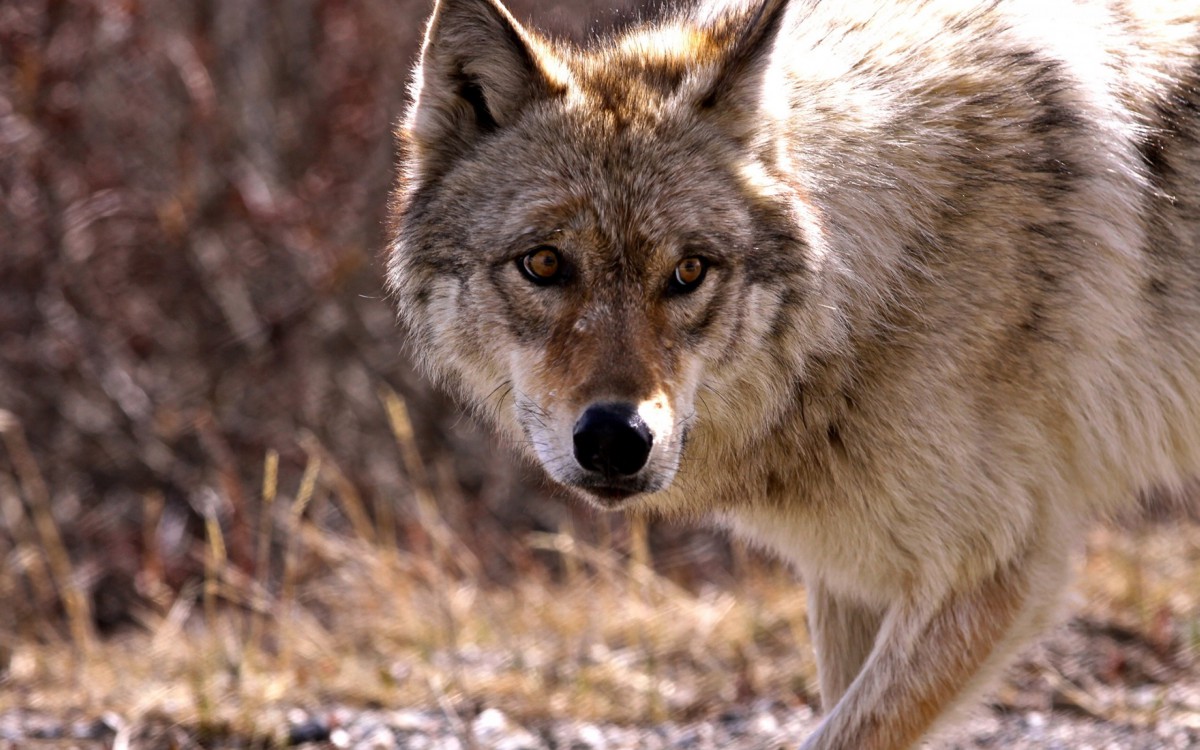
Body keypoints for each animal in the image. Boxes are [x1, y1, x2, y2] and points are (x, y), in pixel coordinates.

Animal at [386, 0, 1200, 744]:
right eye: (545, 263)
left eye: (689, 271)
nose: (617, 440)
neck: (876, 285)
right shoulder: (854, 576)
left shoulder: (992, 572)